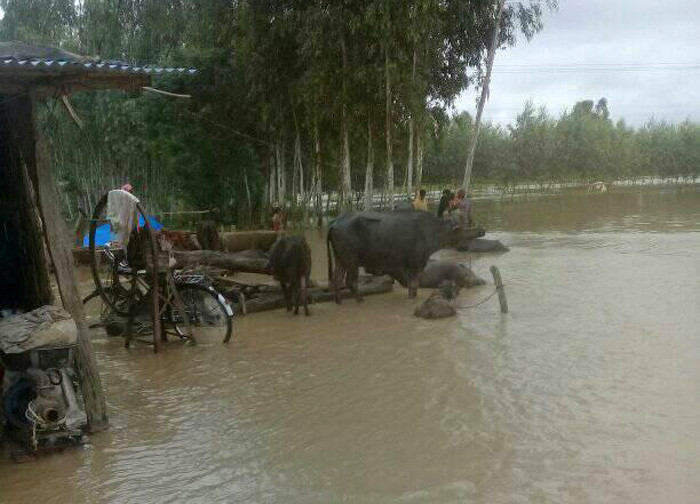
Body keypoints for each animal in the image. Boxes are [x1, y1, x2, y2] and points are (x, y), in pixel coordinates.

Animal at [326, 210, 464, 302]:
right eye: (463, 228)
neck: (431, 229)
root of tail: (336, 221)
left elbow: (412, 283)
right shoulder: (415, 263)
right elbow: (414, 284)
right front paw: (412, 298)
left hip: (340, 259)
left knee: (336, 279)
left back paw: (339, 301)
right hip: (351, 260)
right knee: (350, 281)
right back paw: (360, 299)